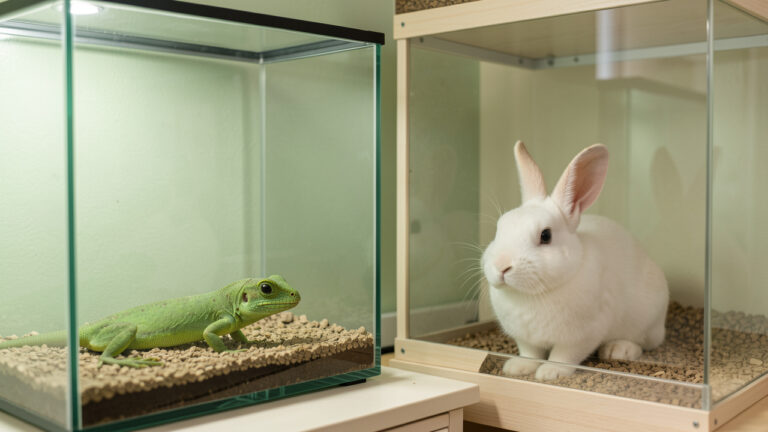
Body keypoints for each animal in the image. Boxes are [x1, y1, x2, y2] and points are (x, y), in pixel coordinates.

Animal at [481, 141, 669, 381]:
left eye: (545, 235)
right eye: (499, 228)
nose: (501, 266)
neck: (533, 294)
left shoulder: (581, 336)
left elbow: (563, 356)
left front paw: (550, 372)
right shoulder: (525, 339)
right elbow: (530, 353)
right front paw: (517, 367)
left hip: (646, 320)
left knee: (644, 343)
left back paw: (618, 350)